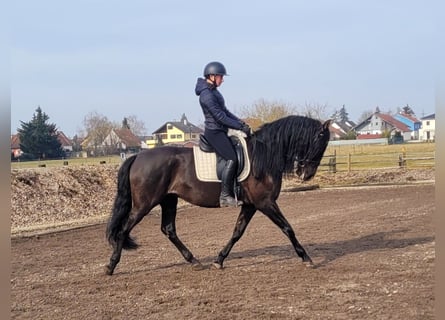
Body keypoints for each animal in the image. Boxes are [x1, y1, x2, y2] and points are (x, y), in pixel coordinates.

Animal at [104, 115, 330, 276]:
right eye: (320, 142)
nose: (307, 174)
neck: (262, 156)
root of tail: (137, 156)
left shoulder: (251, 205)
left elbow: (237, 232)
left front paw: (219, 260)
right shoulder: (265, 203)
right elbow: (287, 228)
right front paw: (306, 258)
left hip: (169, 200)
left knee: (168, 229)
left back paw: (194, 261)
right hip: (145, 203)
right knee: (124, 229)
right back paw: (111, 266)